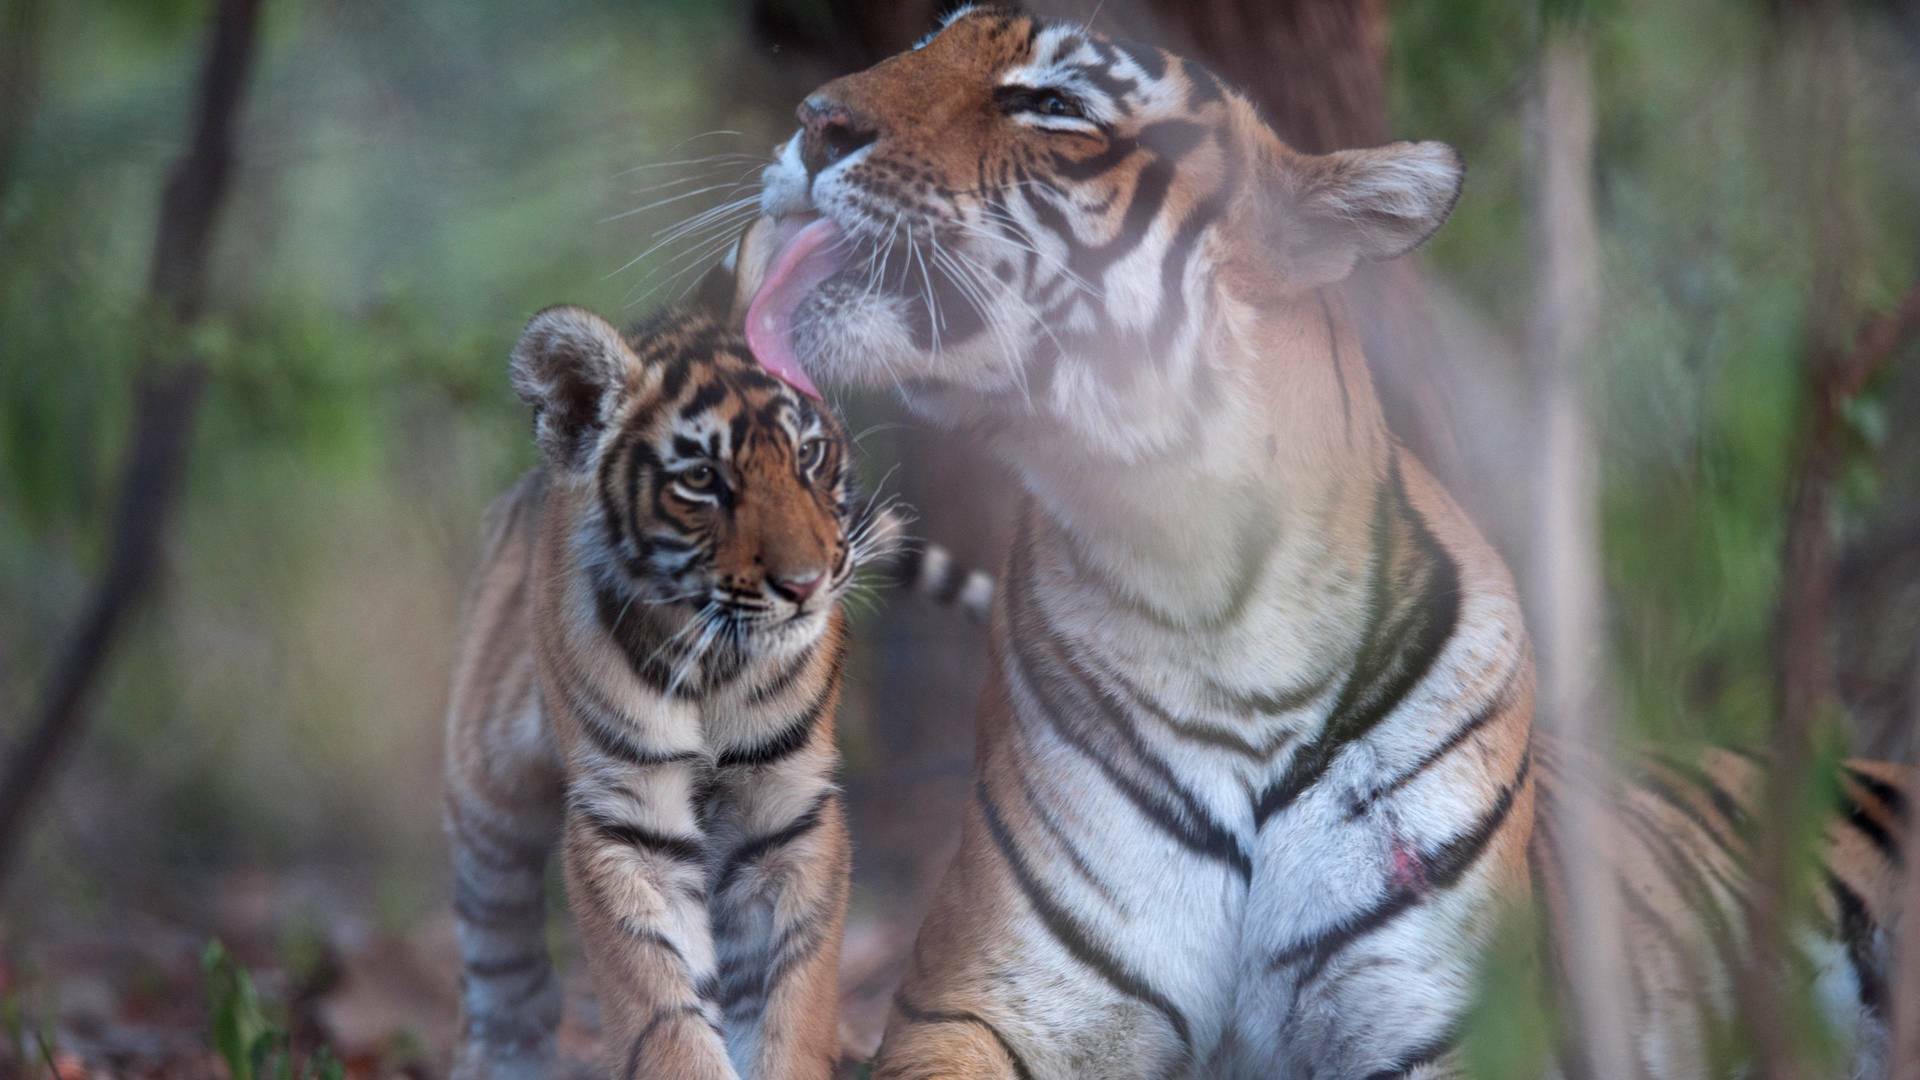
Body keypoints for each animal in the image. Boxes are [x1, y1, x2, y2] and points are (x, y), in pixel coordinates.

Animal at [441, 297, 890, 1068]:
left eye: (807, 455)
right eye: (703, 480)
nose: (805, 584)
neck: (718, 664)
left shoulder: (785, 814)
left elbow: (787, 1005)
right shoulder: (628, 821)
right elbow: (665, 1012)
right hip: (486, 801)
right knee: (503, 957)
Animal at [725, 8, 1912, 1076]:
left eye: (1053, 105)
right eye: (923, 43)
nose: (814, 122)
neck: (1203, 594)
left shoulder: (1453, 1026)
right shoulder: (976, 1003)